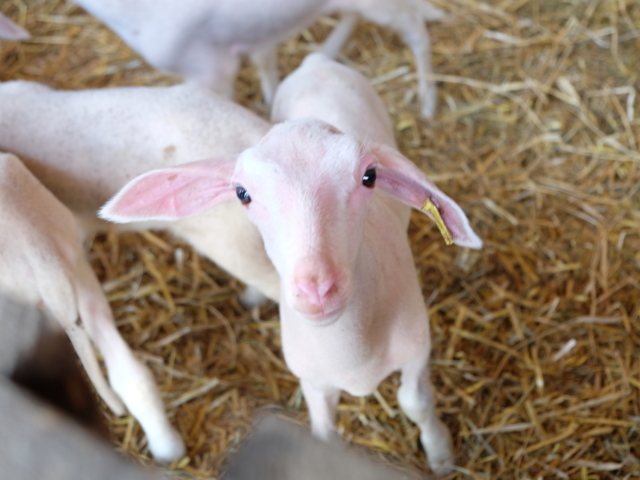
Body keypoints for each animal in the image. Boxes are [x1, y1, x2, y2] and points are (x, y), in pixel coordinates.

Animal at [99, 52, 480, 472]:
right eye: (242, 193)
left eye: (370, 176)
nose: (317, 288)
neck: (352, 352)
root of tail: (317, 60)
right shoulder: (311, 380)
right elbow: (324, 432)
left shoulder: (417, 349)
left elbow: (416, 404)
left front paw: (441, 455)